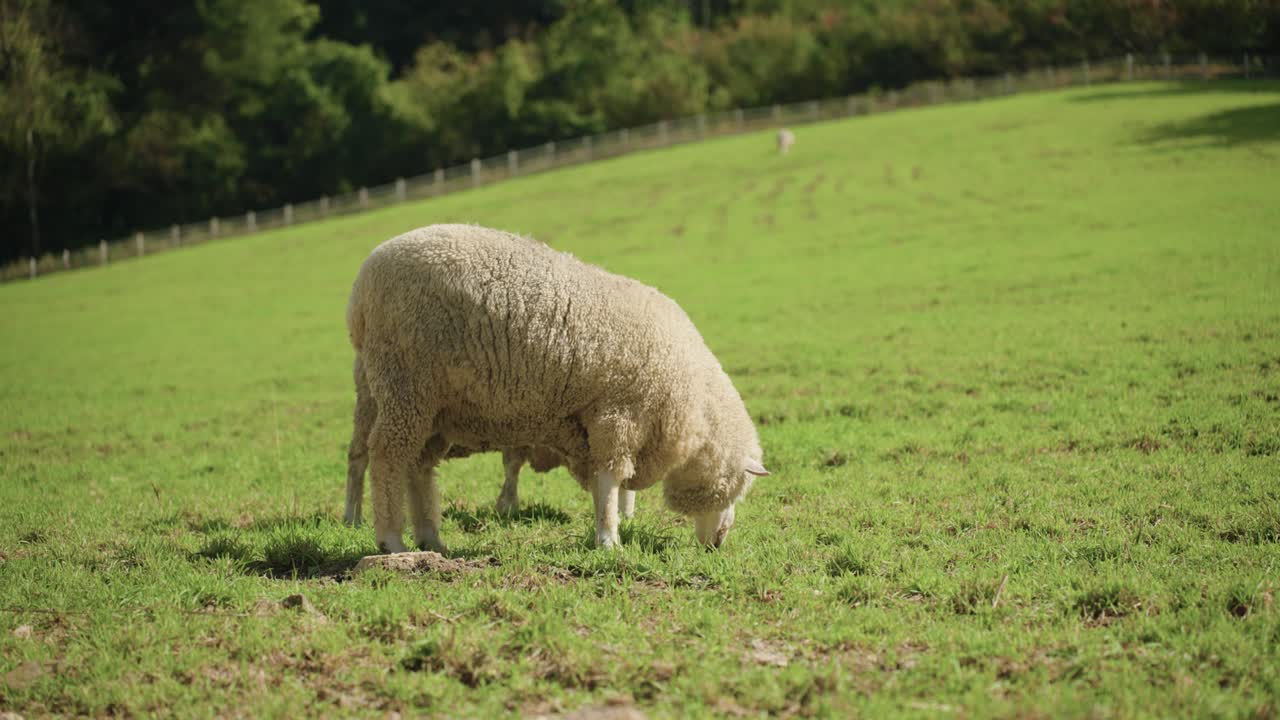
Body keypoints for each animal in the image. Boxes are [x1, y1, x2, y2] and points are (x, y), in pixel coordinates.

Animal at [346, 223, 769, 553]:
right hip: (405, 383)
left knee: (419, 464)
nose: (719, 542)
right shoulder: (617, 415)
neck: (693, 405)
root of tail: (360, 290)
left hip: (432, 403)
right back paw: (389, 539)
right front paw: (609, 540)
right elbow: (610, 479)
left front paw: (607, 530)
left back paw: (430, 538)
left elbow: (604, 483)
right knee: (385, 455)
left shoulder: (597, 427)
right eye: (737, 488)